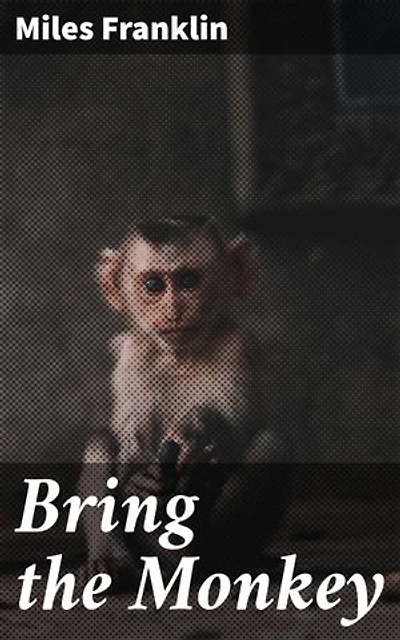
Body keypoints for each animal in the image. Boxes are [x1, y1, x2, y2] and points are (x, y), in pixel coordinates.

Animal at [78, 214, 299, 589]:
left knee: (273, 445)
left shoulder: (235, 347)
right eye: (154, 284)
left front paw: (194, 431)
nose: (174, 310)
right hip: (144, 548)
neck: (181, 356)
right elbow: (125, 438)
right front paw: (140, 475)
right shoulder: (132, 355)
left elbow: (236, 427)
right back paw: (113, 565)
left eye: (188, 280)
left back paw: (215, 561)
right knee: (99, 442)